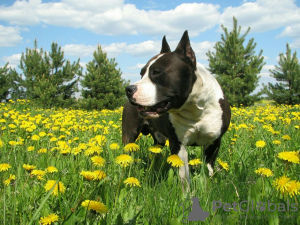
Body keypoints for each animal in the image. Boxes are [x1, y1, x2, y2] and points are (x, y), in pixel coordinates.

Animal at [122, 30, 230, 191]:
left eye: (156, 72)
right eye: (141, 74)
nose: (129, 89)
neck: (194, 109)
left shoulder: (214, 143)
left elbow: (208, 170)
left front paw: (207, 188)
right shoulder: (178, 144)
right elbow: (184, 175)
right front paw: (187, 194)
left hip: (159, 141)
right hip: (129, 135)